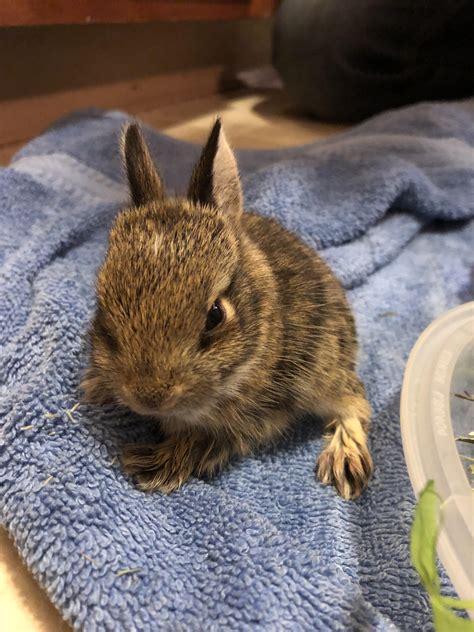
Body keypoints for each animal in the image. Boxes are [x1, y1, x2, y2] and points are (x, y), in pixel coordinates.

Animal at [82, 121, 374, 502]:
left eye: (215, 315)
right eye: (103, 305)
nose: (149, 396)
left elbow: (206, 438)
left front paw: (156, 466)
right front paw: (94, 388)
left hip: (324, 369)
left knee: (354, 402)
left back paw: (345, 460)